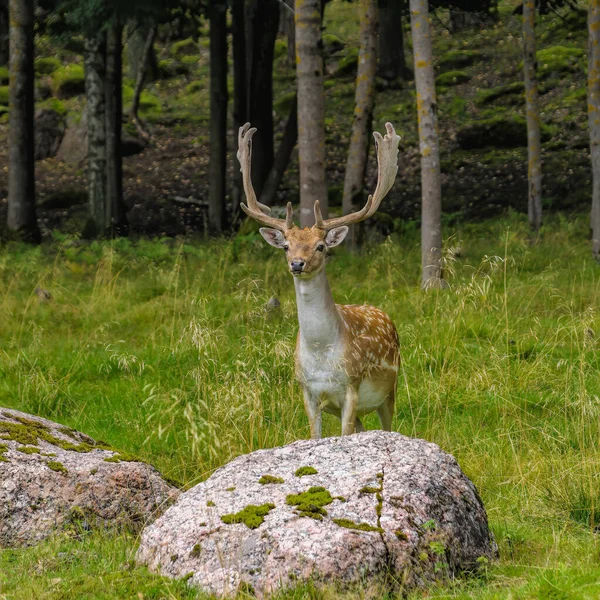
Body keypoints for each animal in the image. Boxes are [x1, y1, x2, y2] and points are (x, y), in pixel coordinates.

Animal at [237, 123, 400, 440]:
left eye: (321, 246)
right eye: (286, 246)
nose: (297, 264)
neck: (320, 352)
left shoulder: (350, 386)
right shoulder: (308, 392)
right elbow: (317, 436)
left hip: (390, 390)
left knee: (388, 425)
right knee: (362, 427)